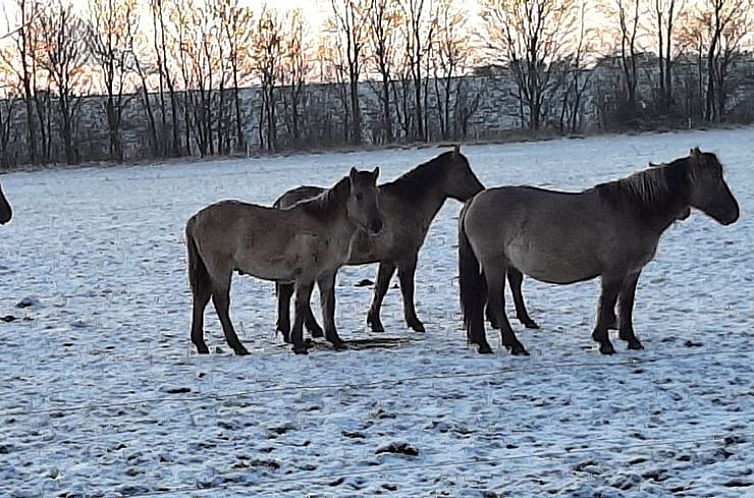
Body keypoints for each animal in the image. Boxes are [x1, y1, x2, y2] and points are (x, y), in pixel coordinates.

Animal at [183, 167, 382, 354]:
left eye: (376, 194)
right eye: (358, 196)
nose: (377, 226)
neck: (322, 225)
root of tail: (196, 218)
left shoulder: (327, 274)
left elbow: (328, 304)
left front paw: (336, 340)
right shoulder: (306, 275)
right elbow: (301, 305)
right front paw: (298, 343)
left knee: (201, 299)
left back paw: (201, 345)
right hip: (220, 270)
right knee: (220, 303)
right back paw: (238, 347)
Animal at [274, 145, 484, 338]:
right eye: (464, 171)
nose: (480, 192)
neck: (407, 203)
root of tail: (283, 200)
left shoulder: (388, 259)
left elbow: (380, 288)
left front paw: (374, 322)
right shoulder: (407, 257)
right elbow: (407, 289)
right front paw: (415, 323)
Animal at [456, 146, 736, 356]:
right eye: (714, 178)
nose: (734, 213)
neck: (635, 208)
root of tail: (475, 200)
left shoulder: (632, 272)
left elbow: (625, 304)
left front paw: (631, 339)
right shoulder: (614, 271)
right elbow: (608, 302)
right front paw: (604, 342)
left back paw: (484, 344)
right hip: (494, 264)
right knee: (496, 302)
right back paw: (514, 345)